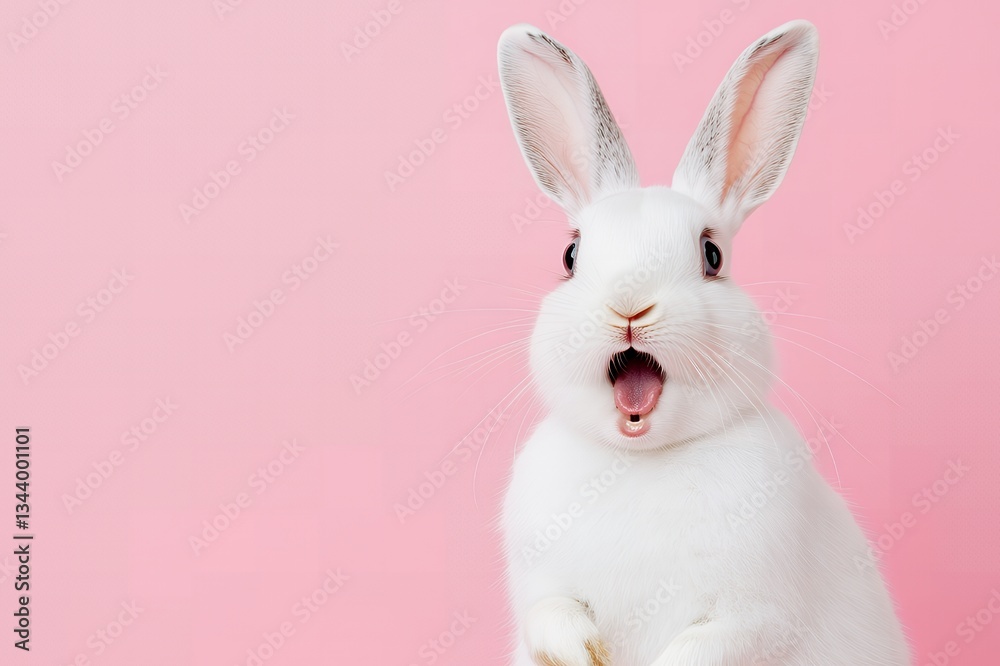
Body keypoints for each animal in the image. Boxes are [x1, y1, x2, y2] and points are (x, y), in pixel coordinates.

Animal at [497, 20, 910, 666]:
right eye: (570, 255)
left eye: (711, 254)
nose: (629, 302)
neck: (642, 461)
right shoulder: (541, 588)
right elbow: (551, 616)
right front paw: (586, 651)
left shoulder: (753, 614)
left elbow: (707, 644)